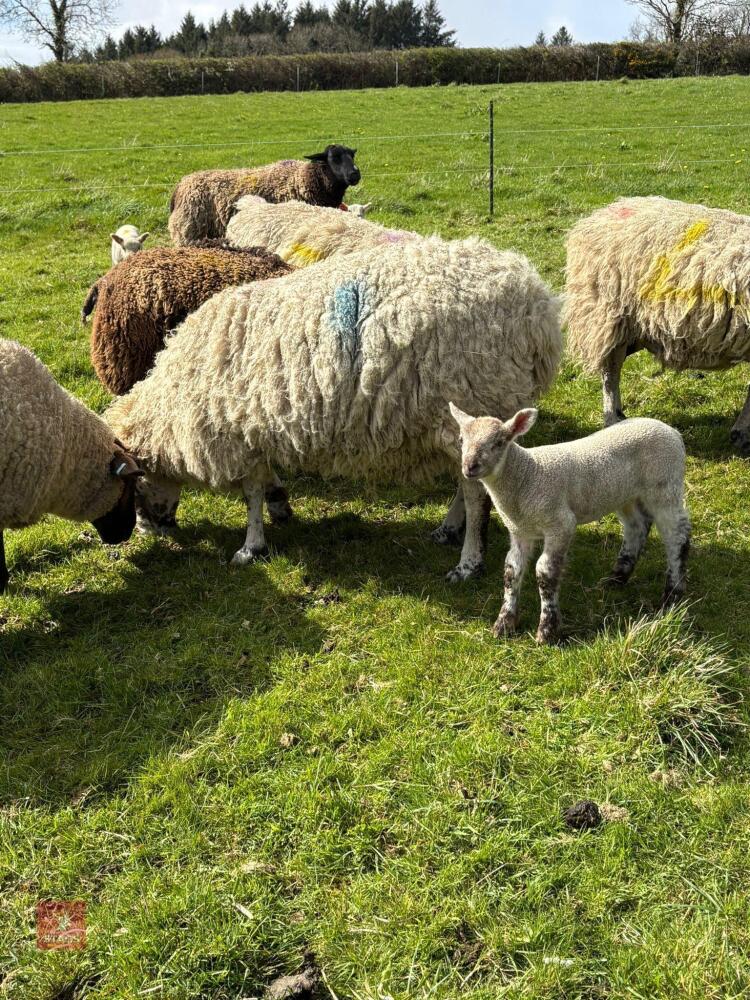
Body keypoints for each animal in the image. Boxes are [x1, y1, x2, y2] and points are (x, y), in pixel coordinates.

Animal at [105, 237, 562, 581]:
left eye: (134, 485)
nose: (151, 532)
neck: (175, 396)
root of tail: (536, 305)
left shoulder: (239, 433)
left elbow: (251, 496)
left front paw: (251, 547)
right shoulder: (257, 432)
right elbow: (264, 485)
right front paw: (279, 506)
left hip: (473, 398)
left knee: (475, 494)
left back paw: (468, 562)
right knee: (466, 482)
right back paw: (449, 529)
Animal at [168, 145, 361, 246]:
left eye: (352, 156)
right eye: (334, 158)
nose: (355, 174)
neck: (303, 179)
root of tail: (181, 185)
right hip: (188, 233)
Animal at [450, 404, 690, 644]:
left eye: (500, 442)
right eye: (461, 440)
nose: (469, 467)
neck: (526, 476)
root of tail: (672, 431)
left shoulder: (560, 524)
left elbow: (545, 572)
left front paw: (547, 631)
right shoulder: (519, 530)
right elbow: (512, 571)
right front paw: (503, 623)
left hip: (665, 484)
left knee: (677, 536)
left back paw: (672, 596)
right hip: (624, 494)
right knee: (637, 527)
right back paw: (616, 578)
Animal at [566, 196, 750, 453]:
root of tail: (604, 212)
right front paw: (741, 434)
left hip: (633, 330)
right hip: (608, 316)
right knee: (610, 371)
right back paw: (612, 417)